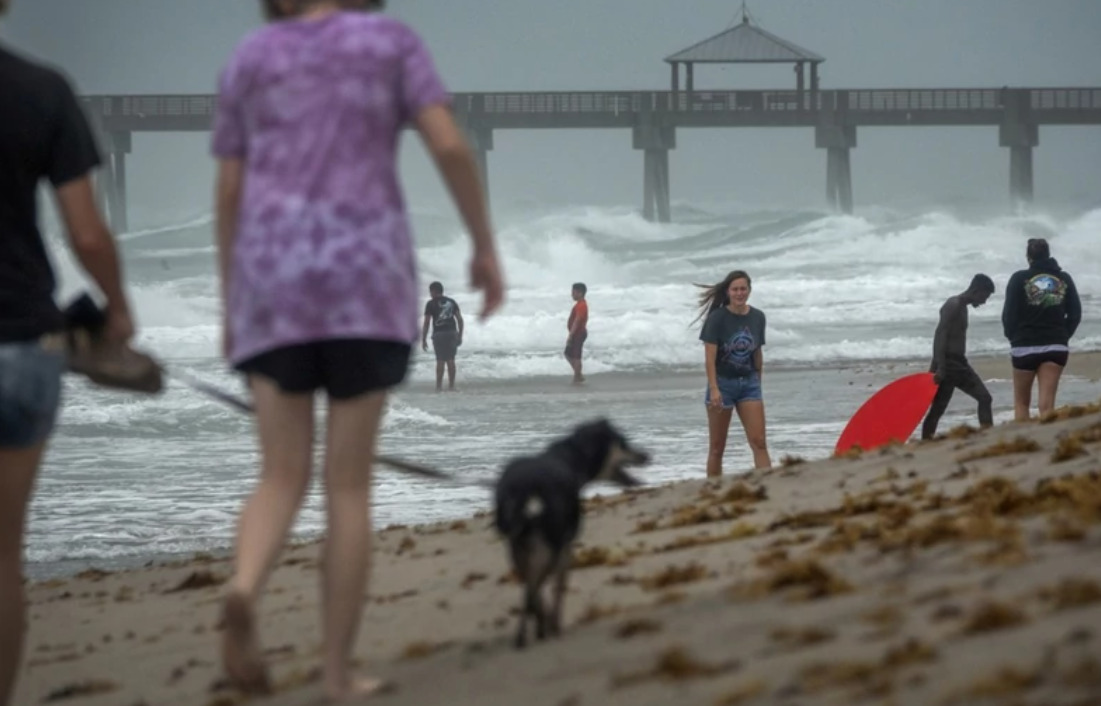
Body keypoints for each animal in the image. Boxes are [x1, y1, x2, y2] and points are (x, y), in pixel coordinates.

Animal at [495, 418, 647, 652]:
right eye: (623, 443)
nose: (648, 455)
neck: (569, 460)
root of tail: (528, 486)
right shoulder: (566, 547)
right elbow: (559, 588)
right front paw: (554, 625)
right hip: (552, 543)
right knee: (536, 586)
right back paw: (543, 628)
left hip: (518, 544)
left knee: (531, 588)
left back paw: (526, 635)